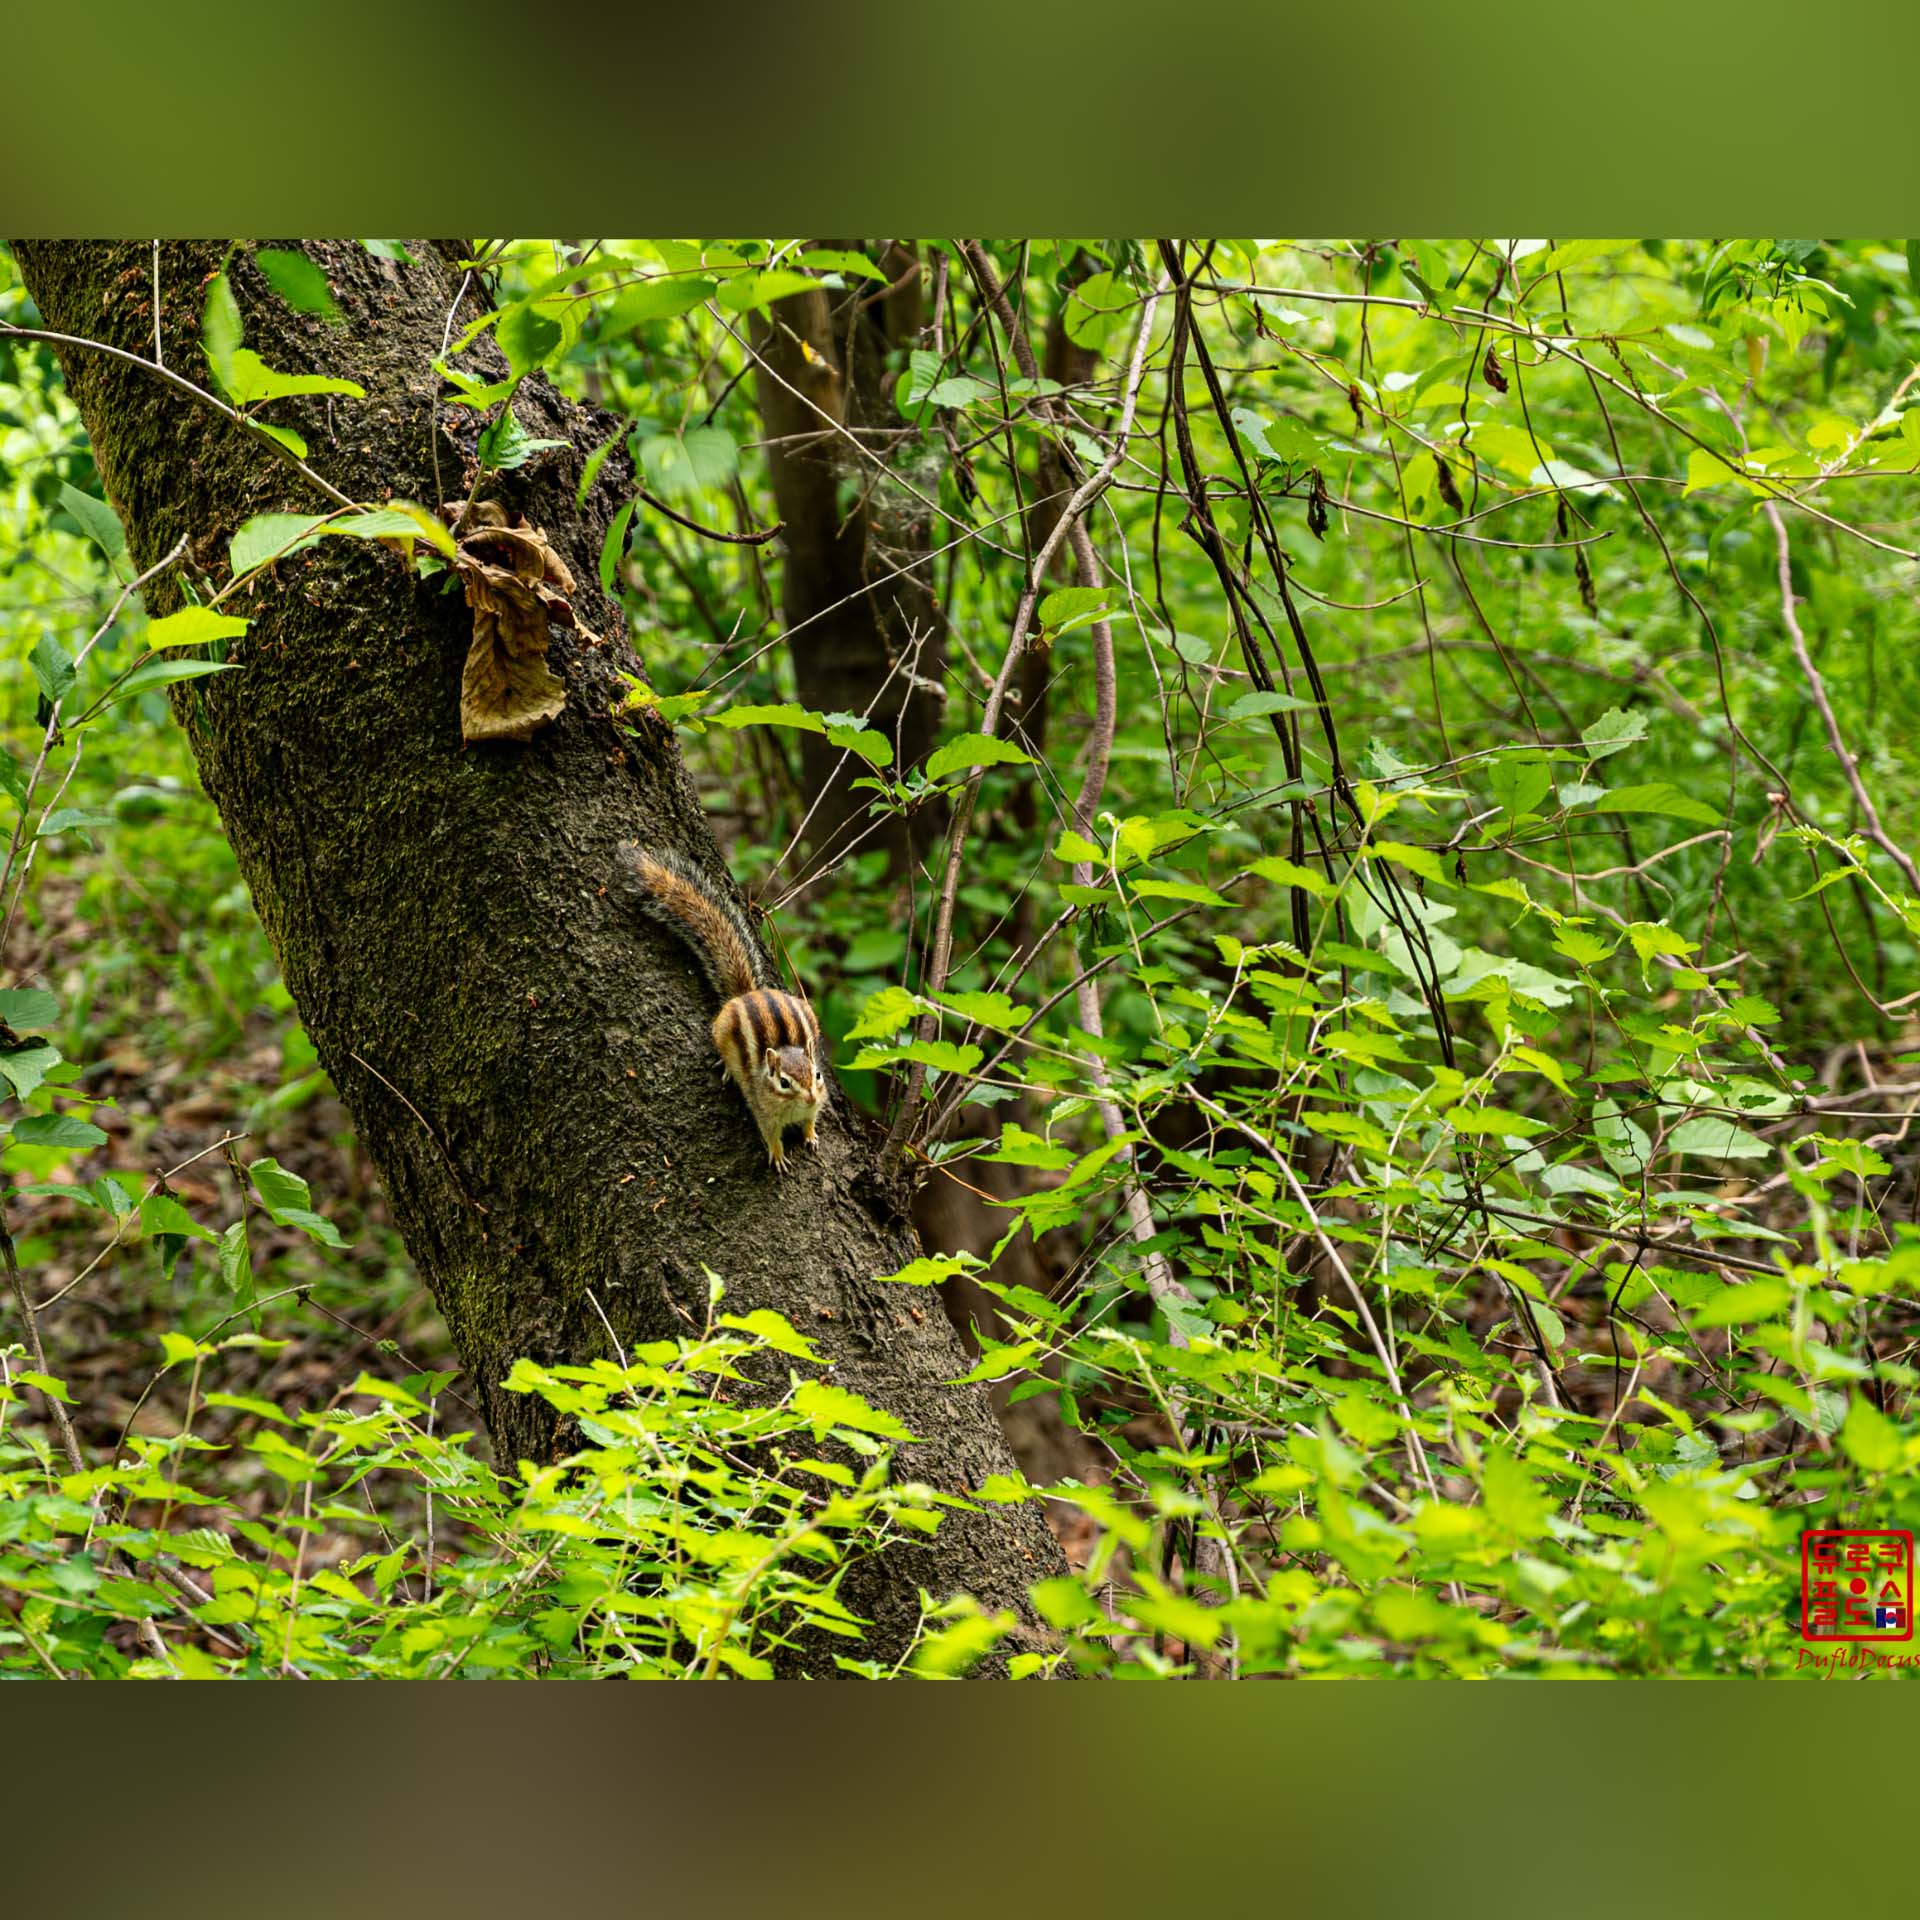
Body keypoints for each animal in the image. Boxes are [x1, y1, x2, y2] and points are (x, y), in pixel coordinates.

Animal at [617, 845, 824, 1173]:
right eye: (784, 1082)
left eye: (817, 1075)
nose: (809, 1099)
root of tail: (746, 993)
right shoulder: (763, 1112)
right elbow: (770, 1135)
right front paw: (778, 1155)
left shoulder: (815, 1103)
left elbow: (810, 1120)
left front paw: (811, 1135)